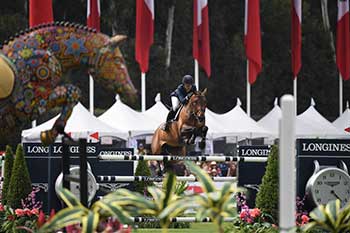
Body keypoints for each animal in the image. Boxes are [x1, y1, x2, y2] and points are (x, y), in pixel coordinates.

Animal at [0, 22, 137, 146]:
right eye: (118, 60)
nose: (133, 93)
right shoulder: (27, 106)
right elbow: (74, 91)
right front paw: (49, 135)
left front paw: (52, 133)